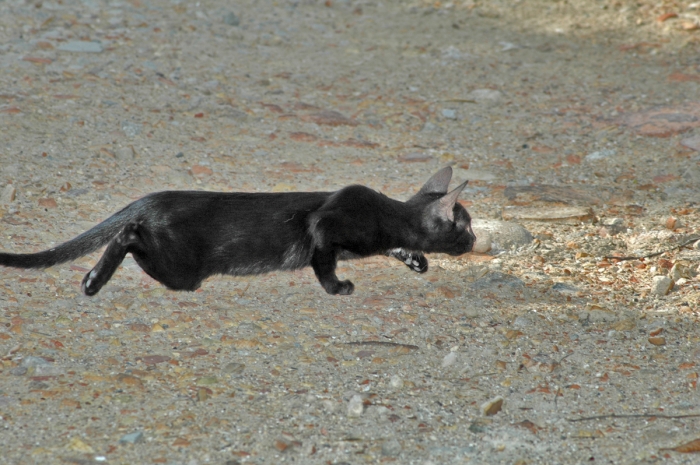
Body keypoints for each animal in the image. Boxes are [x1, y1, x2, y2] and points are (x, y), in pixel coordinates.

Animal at [0, 167, 476, 296]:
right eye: (467, 226)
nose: (473, 241)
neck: (389, 214)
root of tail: (153, 198)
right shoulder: (328, 221)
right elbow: (322, 259)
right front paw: (337, 287)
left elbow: (395, 248)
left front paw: (416, 259)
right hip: (183, 270)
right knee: (129, 234)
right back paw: (93, 280)